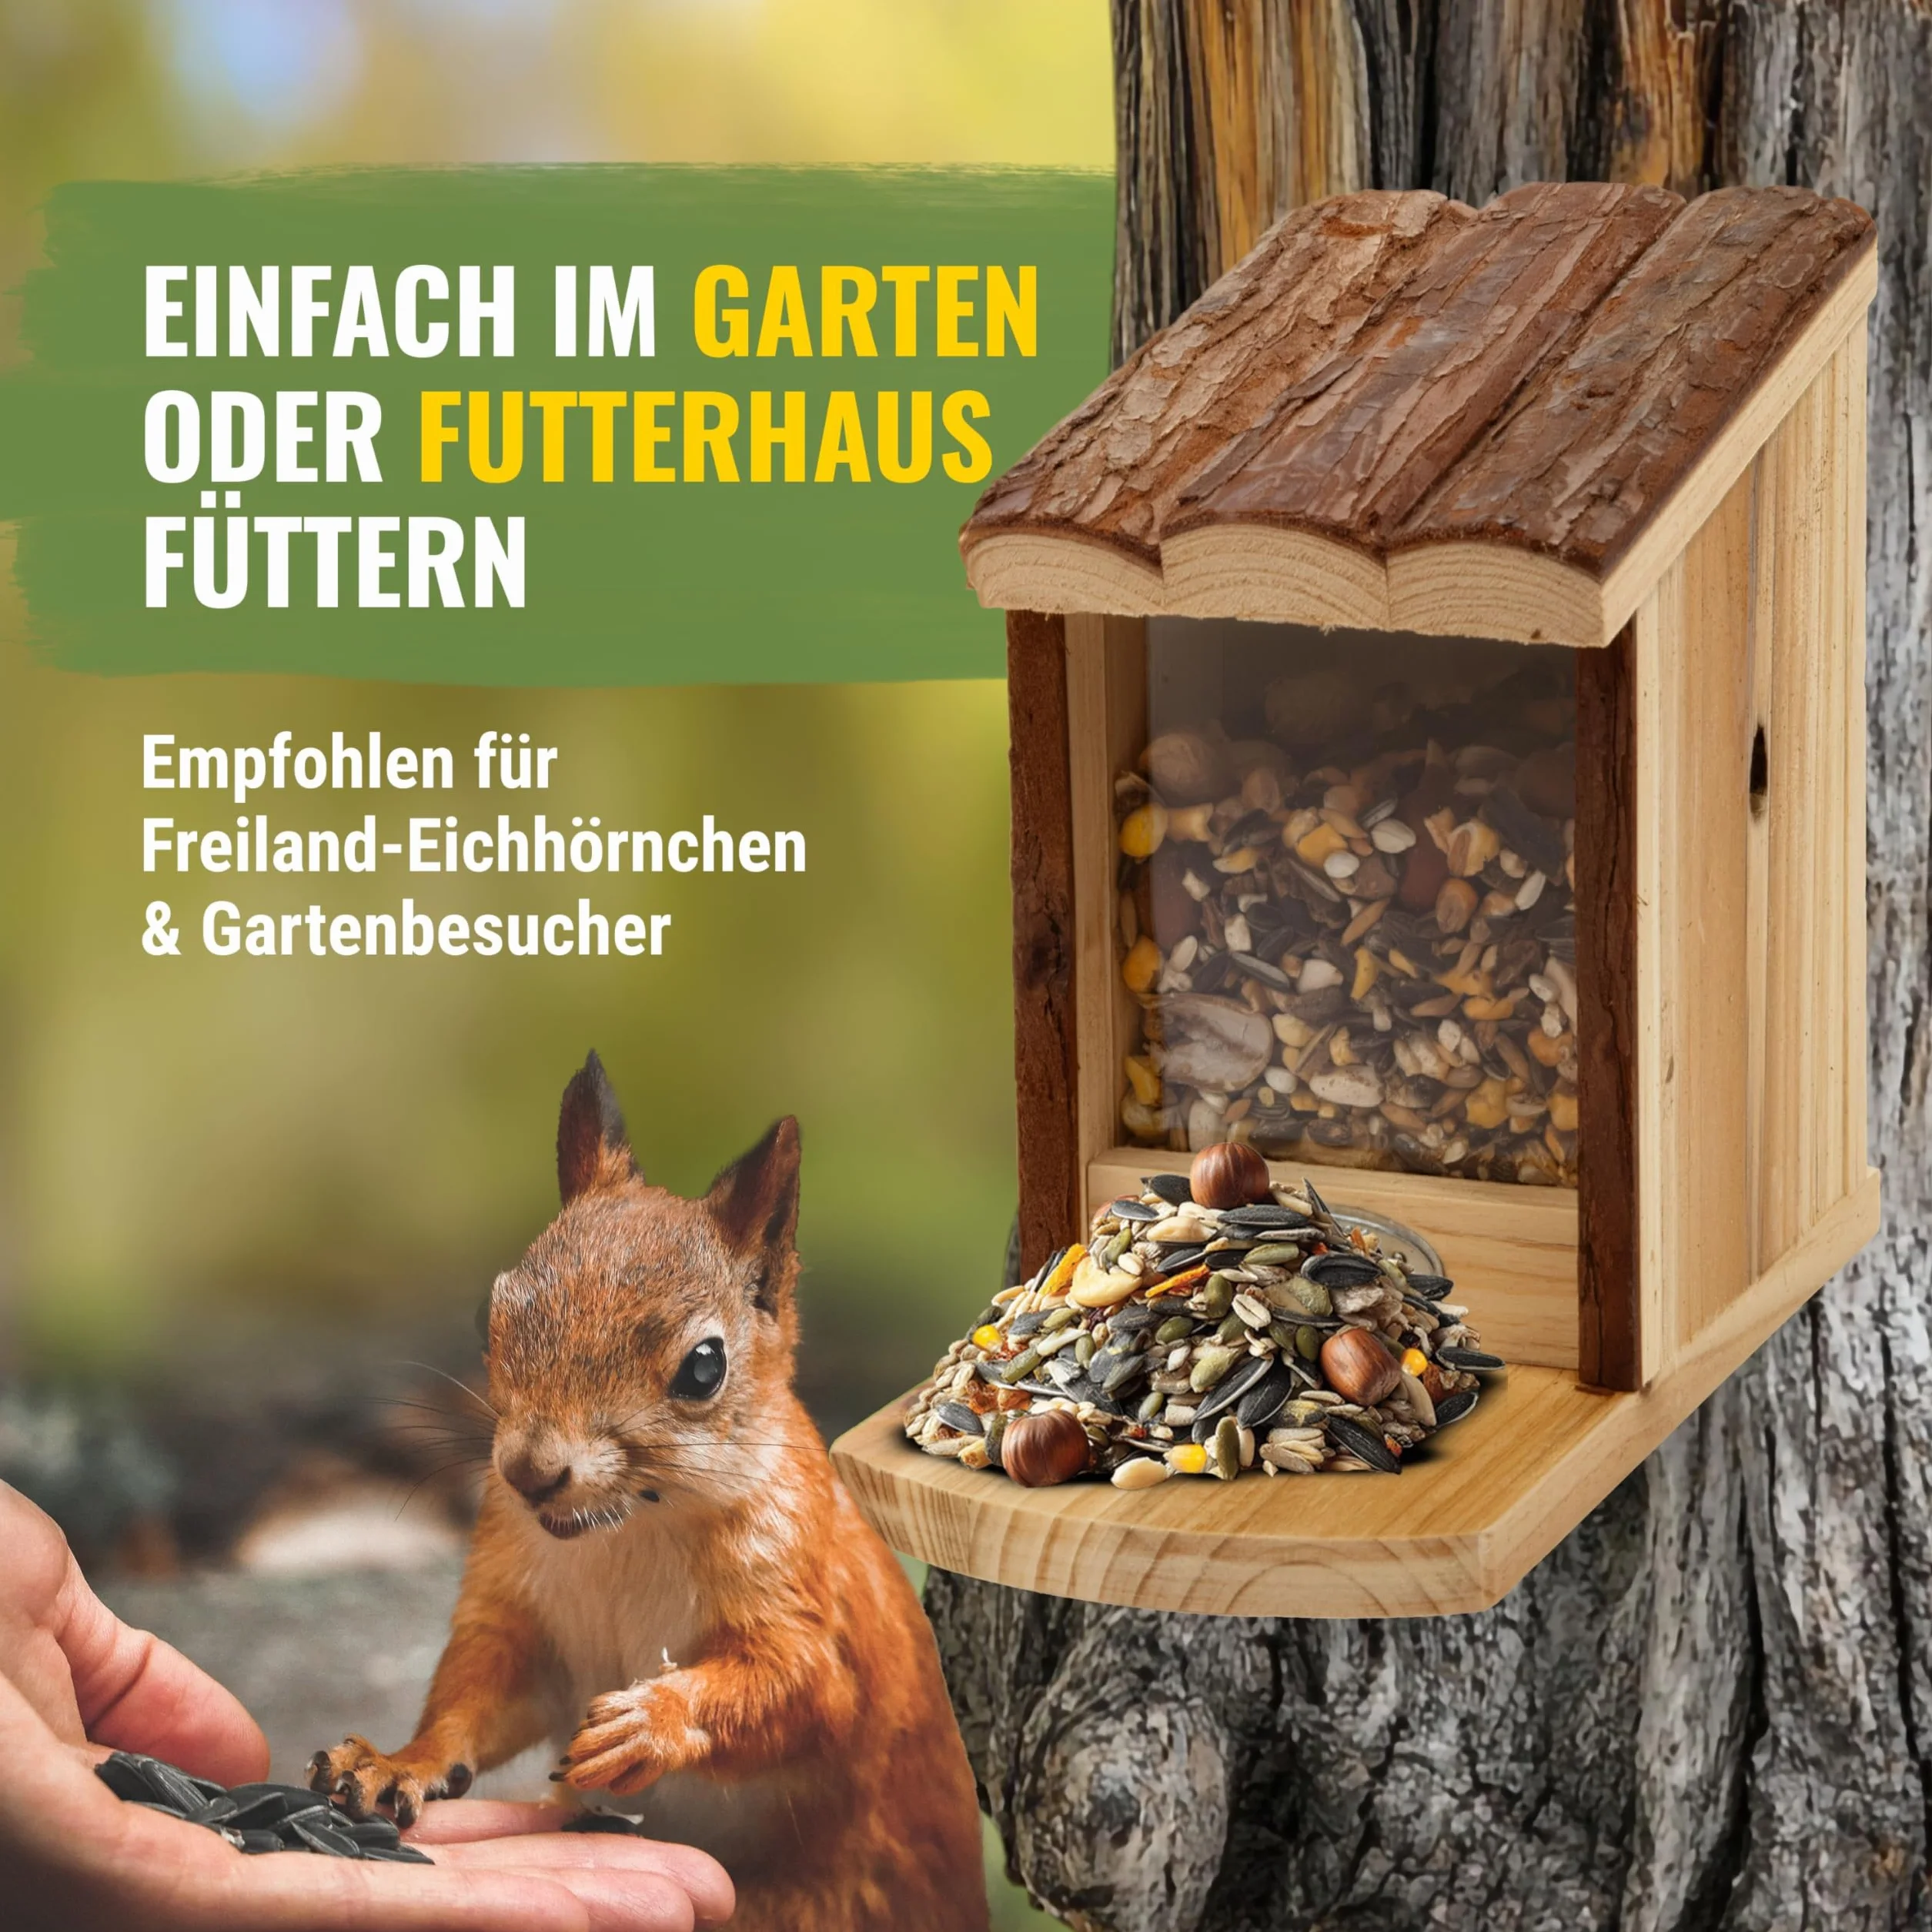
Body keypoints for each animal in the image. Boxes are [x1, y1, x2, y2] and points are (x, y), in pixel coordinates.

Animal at [311, 1052, 987, 1932]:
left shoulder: (803, 1590)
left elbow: (807, 1686)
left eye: (704, 1366)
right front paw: (398, 1761)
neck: (623, 1532)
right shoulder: (517, 1606)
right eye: (489, 1311)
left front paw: (651, 1723)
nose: (530, 1472)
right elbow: (478, 1694)